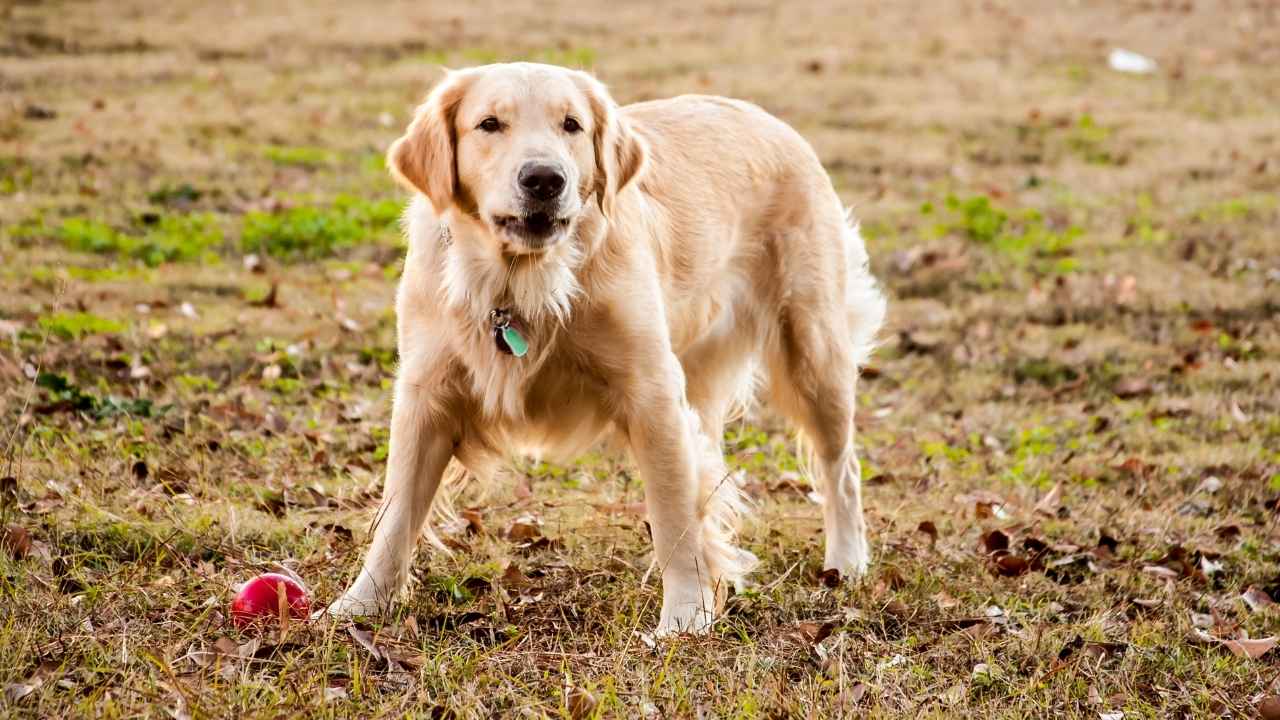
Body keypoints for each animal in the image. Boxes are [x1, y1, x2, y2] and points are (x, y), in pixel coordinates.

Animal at [330, 63, 885, 632]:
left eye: (571, 125)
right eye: (489, 124)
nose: (545, 179)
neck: (521, 283)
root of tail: (768, 118)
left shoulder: (652, 392)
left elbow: (674, 518)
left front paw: (685, 616)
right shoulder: (426, 394)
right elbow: (396, 513)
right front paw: (359, 604)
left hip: (812, 351)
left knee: (841, 469)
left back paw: (845, 562)